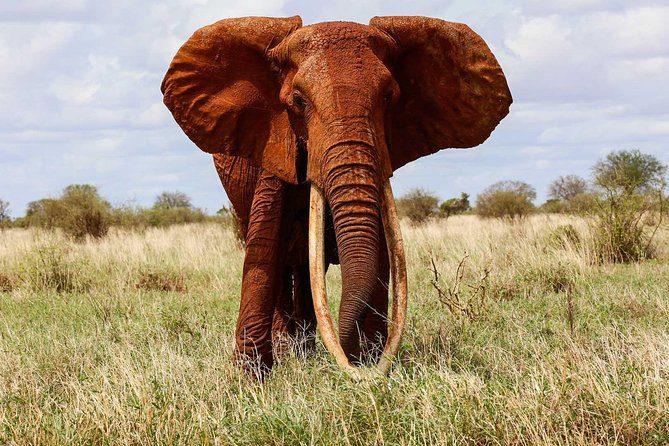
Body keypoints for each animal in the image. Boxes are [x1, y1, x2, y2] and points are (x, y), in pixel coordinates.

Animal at [161, 15, 511, 376]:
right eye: (298, 101)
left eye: (389, 97)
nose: (357, 364)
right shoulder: (275, 143)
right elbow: (265, 245)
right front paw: (251, 379)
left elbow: (380, 249)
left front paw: (370, 361)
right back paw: (290, 351)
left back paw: (304, 351)